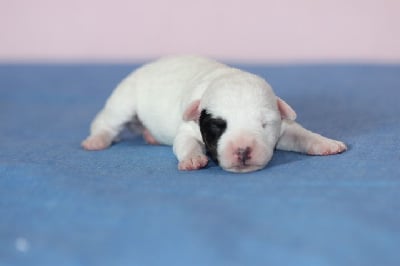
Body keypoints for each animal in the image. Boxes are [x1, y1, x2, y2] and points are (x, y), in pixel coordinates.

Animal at [81, 55, 346, 172]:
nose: (242, 150)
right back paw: (96, 140)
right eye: (218, 126)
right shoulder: (188, 128)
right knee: (106, 121)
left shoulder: (283, 127)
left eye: (264, 125)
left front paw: (326, 144)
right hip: (124, 100)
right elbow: (185, 143)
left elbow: (302, 134)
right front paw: (193, 159)